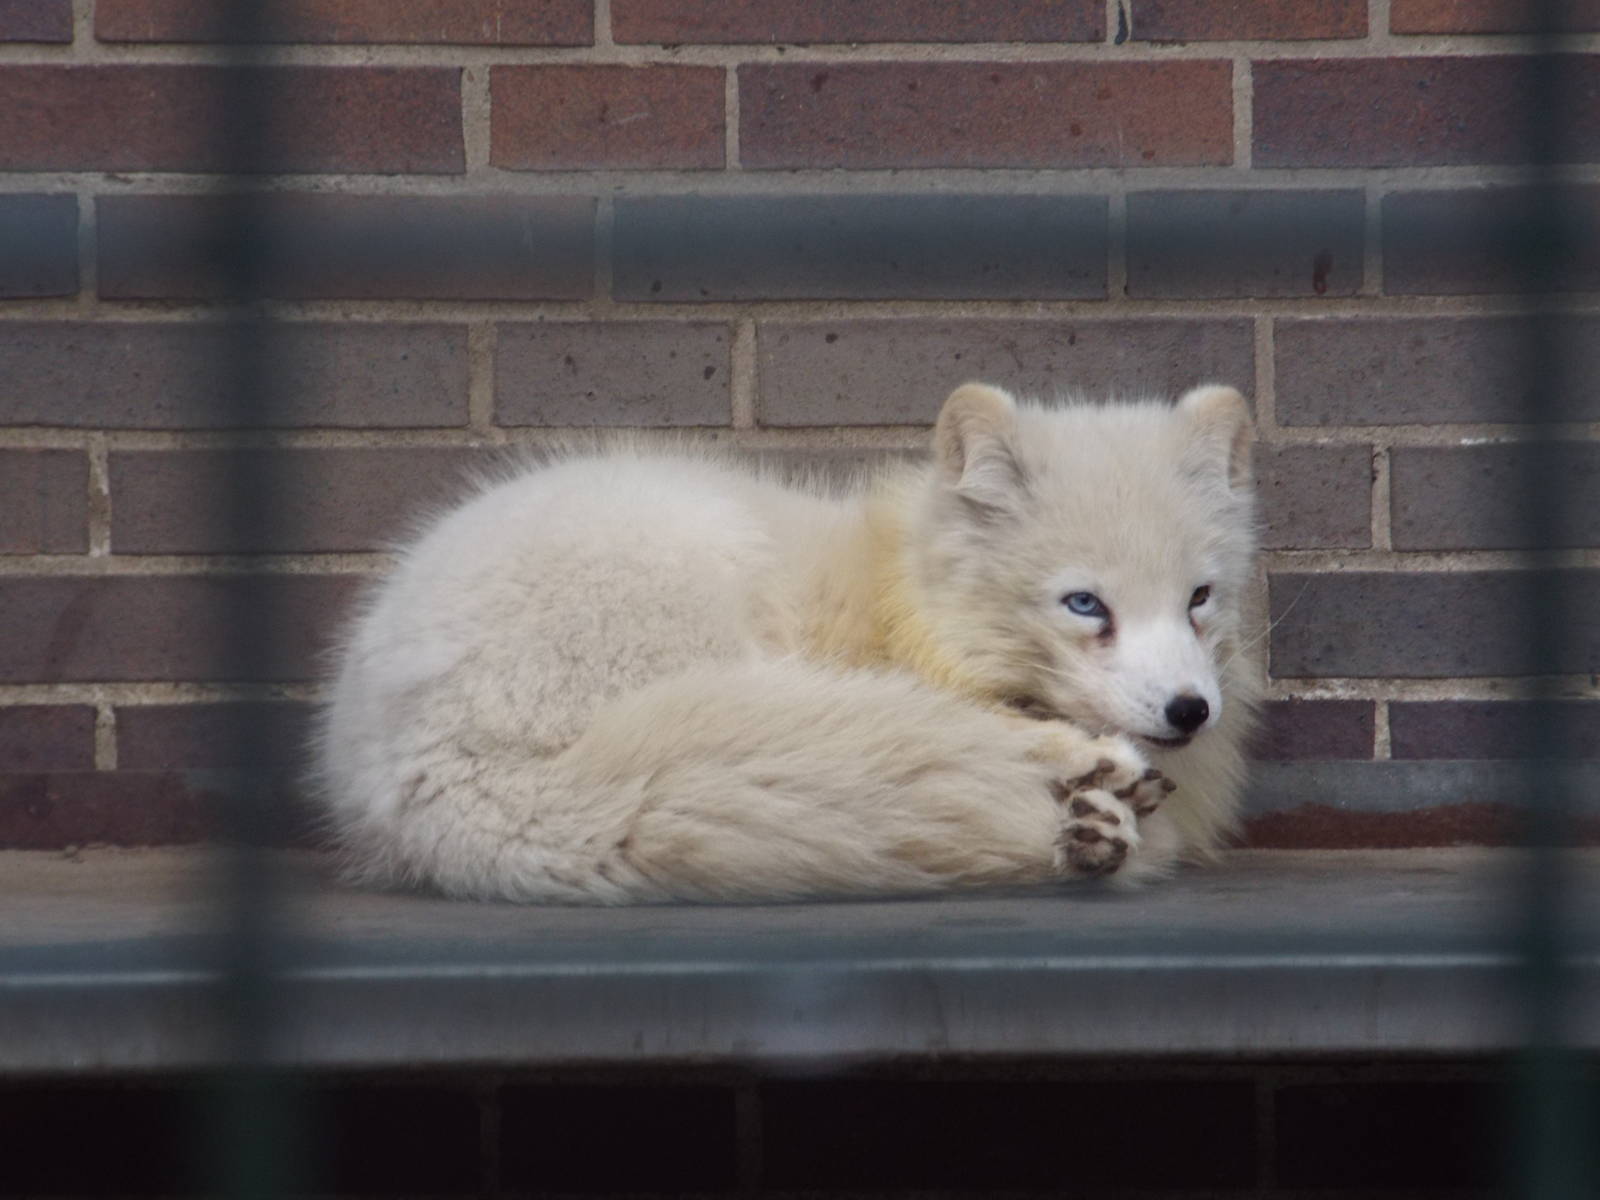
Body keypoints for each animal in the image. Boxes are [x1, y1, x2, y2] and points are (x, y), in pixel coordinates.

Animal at [314, 382, 1260, 903]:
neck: (903, 604)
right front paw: (1089, 774)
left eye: (1199, 598)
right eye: (1084, 603)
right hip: (714, 582)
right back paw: (1089, 785)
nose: (1189, 710)